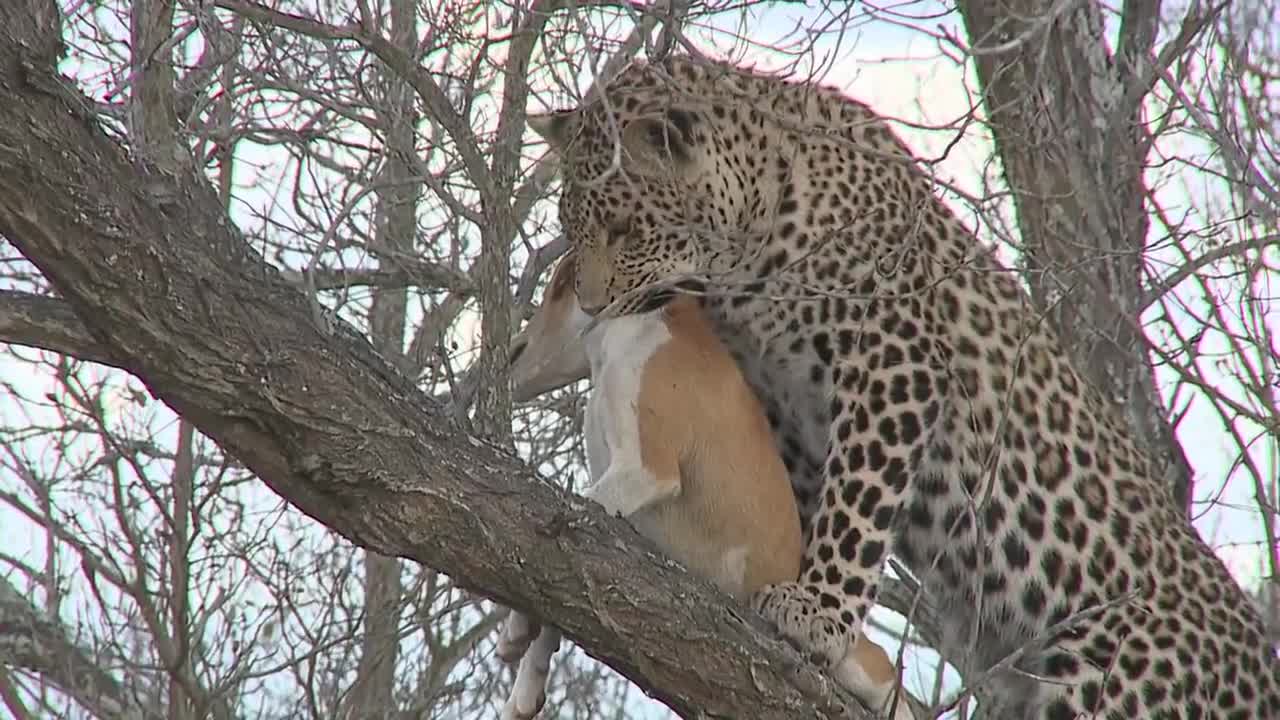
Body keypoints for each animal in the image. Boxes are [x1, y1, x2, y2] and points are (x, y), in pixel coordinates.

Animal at [522, 53, 1280, 712]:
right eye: (569, 227)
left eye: (625, 228)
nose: (593, 304)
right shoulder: (781, 402)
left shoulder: (896, 359)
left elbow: (860, 500)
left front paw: (817, 612)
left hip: (1109, 676)